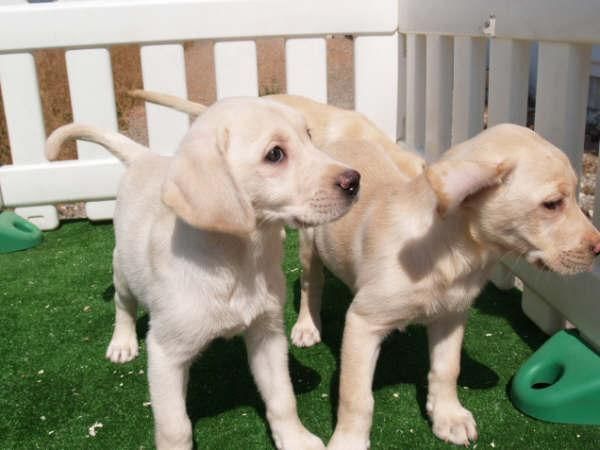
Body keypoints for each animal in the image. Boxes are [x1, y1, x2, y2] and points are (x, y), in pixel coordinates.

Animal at [45, 98, 360, 450]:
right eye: (275, 154)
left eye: (308, 135)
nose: (354, 181)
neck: (239, 260)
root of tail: (146, 157)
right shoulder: (165, 354)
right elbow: (174, 426)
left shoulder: (267, 334)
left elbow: (282, 398)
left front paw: (295, 439)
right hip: (124, 271)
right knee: (122, 304)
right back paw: (122, 343)